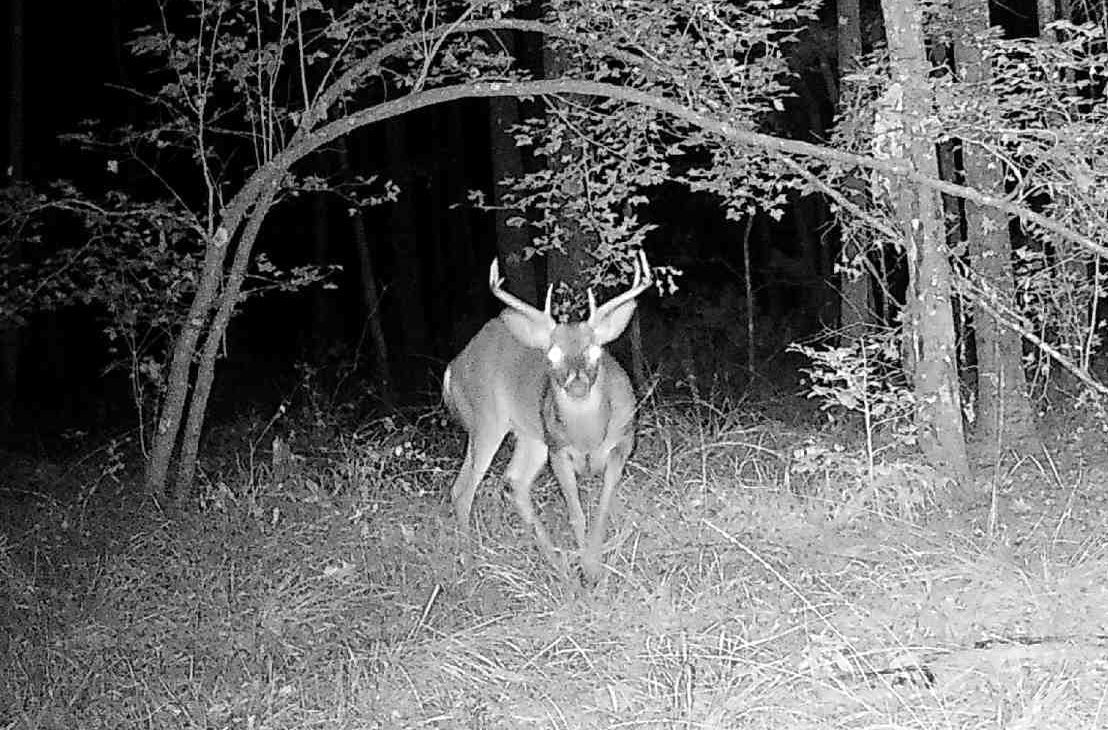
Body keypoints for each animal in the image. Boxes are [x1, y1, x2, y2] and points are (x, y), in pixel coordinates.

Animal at [443, 251, 652, 579]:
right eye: (552, 355)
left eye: (596, 351)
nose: (577, 383)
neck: (588, 437)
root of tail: (454, 367)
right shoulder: (557, 449)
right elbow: (576, 513)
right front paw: (588, 570)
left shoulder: (624, 441)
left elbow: (602, 507)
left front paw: (593, 565)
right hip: (485, 419)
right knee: (464, 489)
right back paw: (471, 565)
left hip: (530, 436)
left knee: (514, 480)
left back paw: (557, 562)